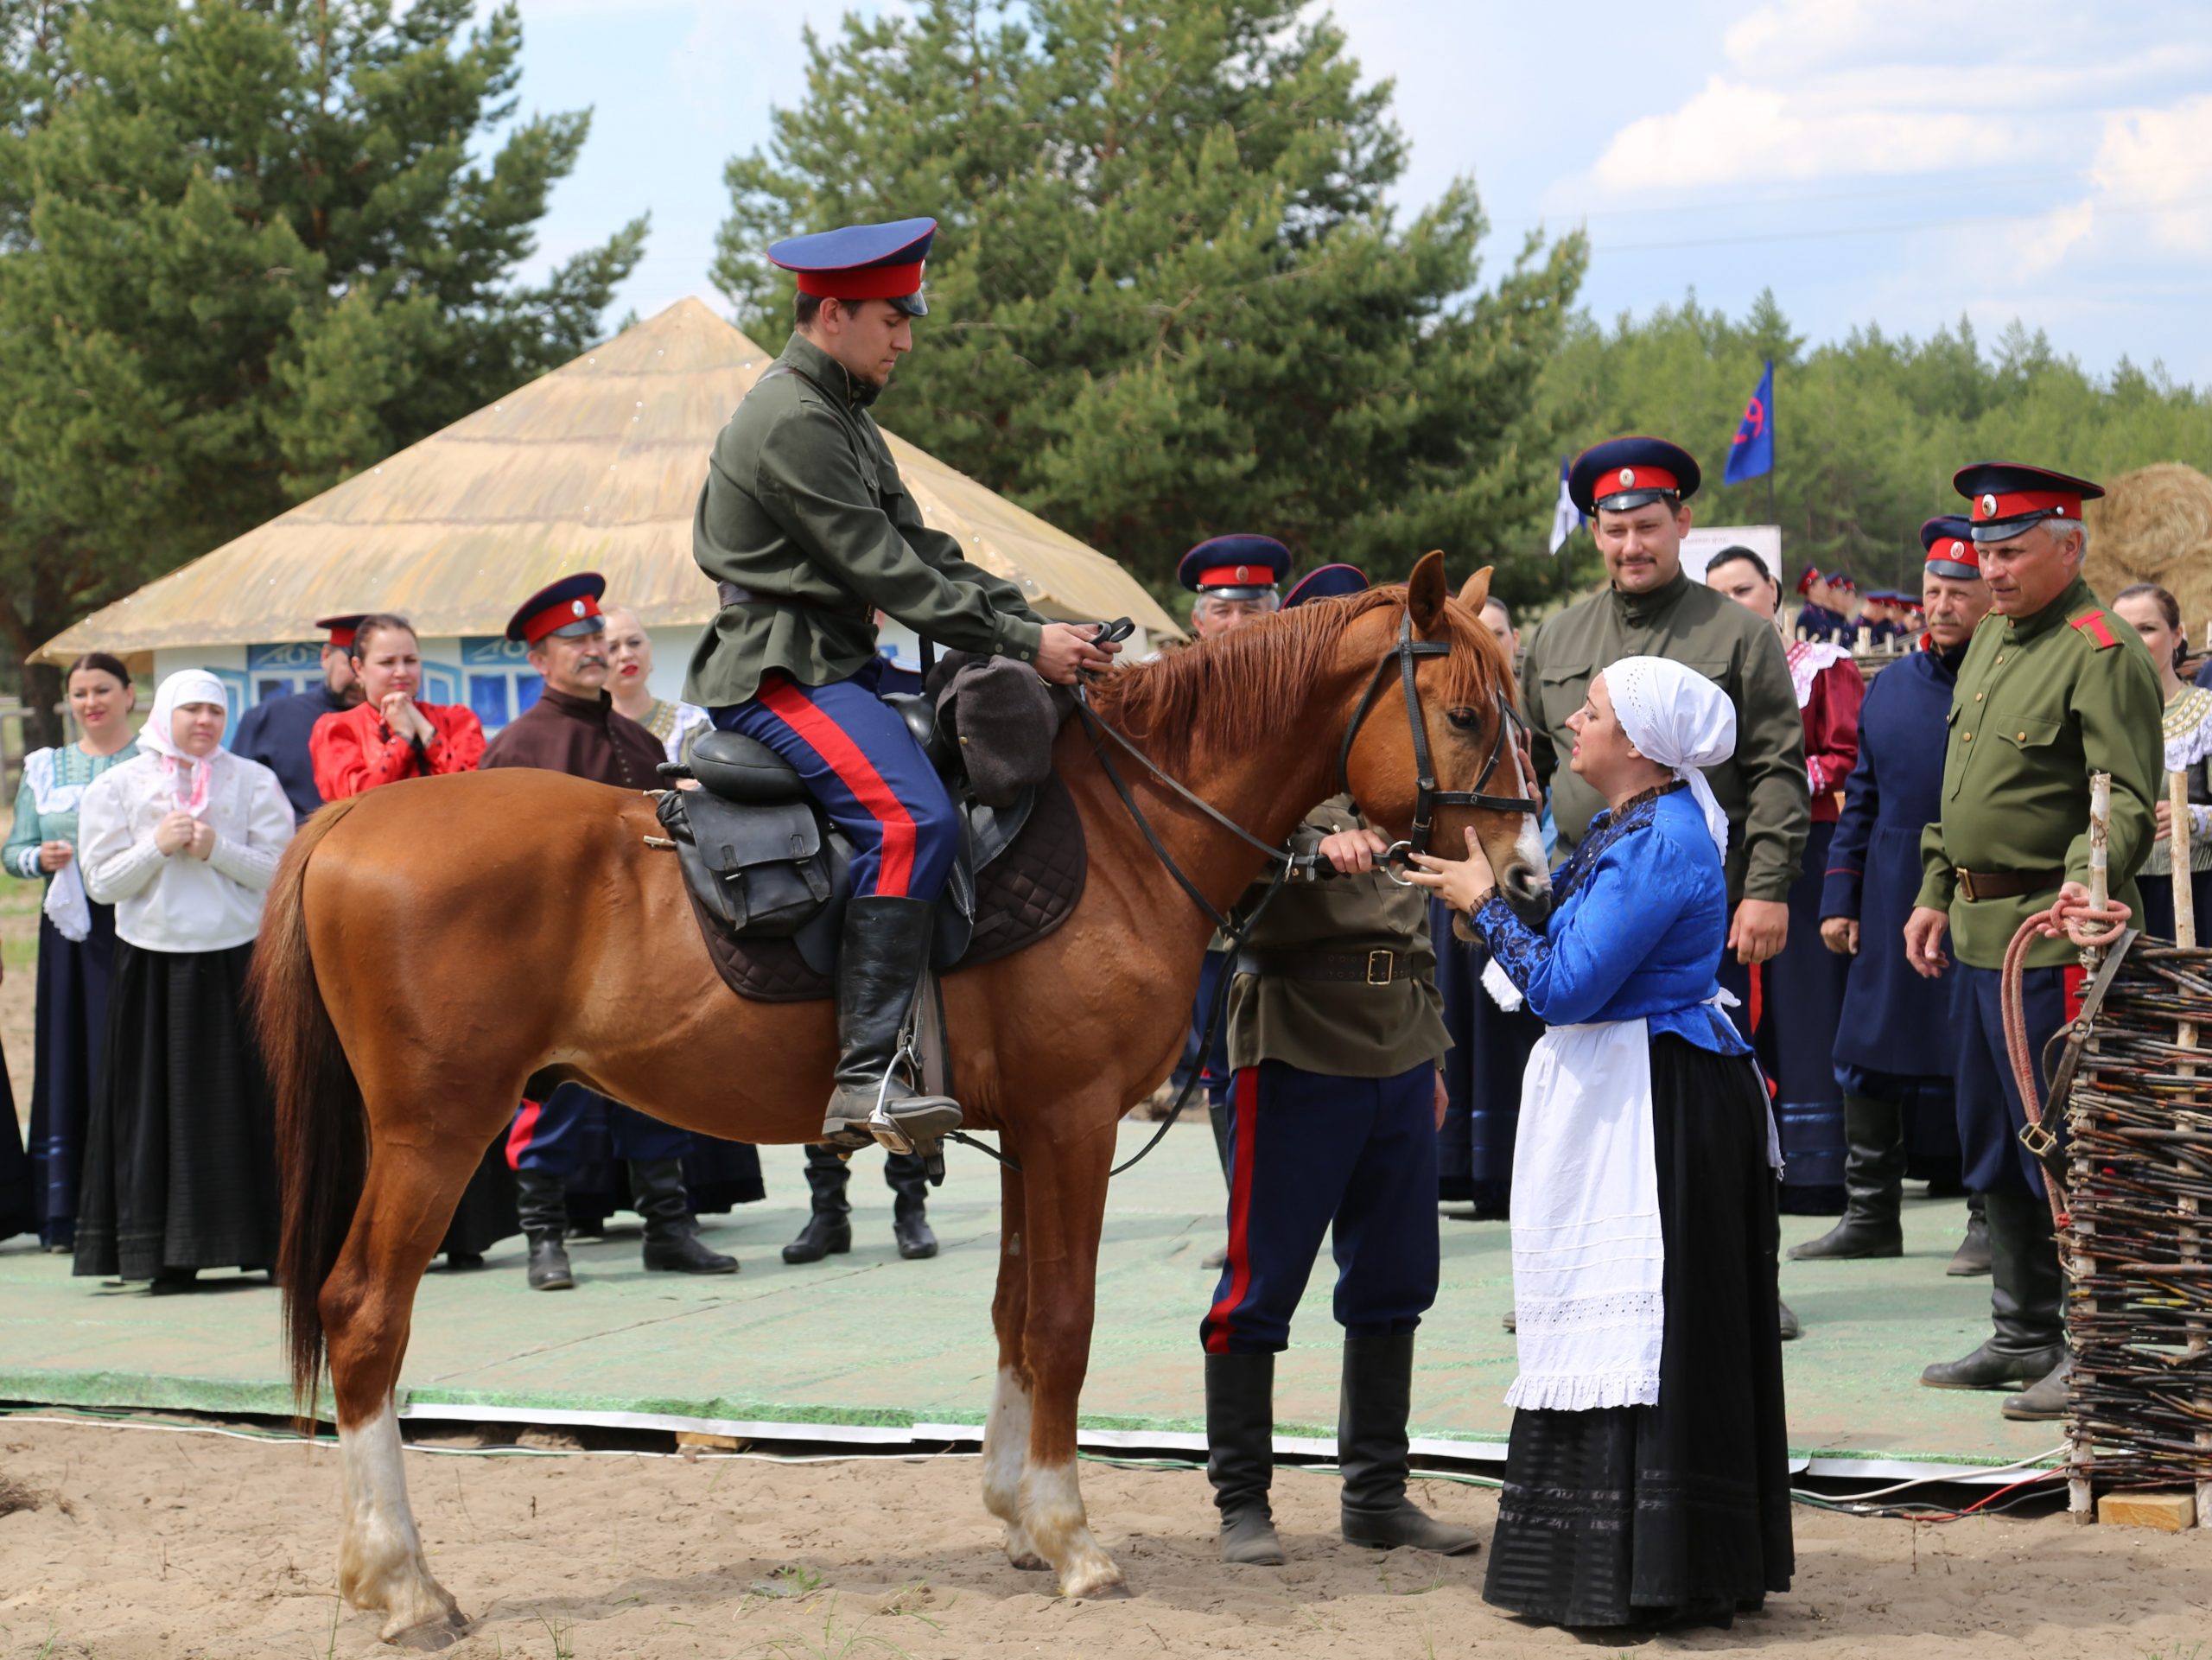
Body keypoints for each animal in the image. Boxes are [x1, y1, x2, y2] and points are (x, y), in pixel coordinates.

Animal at [254, 553, 1539, 1646]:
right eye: (1466, 716)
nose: (1526, 878)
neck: (1125, 821)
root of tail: (356, 812)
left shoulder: (1029, 1127)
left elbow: (1015, 1314)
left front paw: (1017, 1511)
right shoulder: (1072, 1122)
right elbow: (1062, 1321)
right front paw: (1072, 1538)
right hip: (436, 1134)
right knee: (364, 1315)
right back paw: (404, 1583)